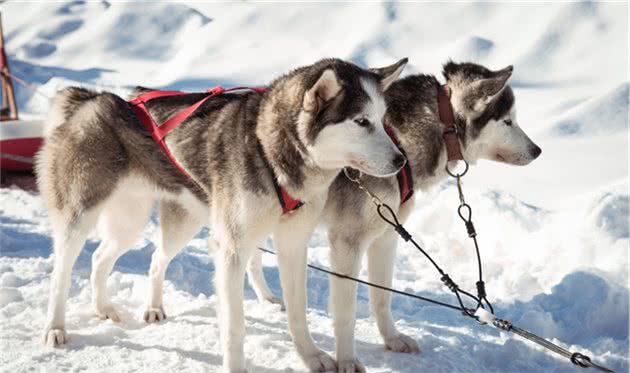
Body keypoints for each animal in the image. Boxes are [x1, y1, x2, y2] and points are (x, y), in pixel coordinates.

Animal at [35, 56, 410, 370]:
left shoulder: (292, 243)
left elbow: (298, 311)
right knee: (62, 272)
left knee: (118, 258)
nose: (401, 160)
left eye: (383, 120)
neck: (269, 149)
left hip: (141, 222)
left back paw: (119, 308)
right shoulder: (232, 249)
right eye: (361, 121)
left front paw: (311, 357)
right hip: (80, 216)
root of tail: (90, 98)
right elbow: (235, 325)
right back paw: (55, 327)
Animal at [320, 61, 544, 370]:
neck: (399, 141)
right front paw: (347, 360)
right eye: (508, 121)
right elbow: (346, 312)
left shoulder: (386, 236)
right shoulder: (347, 242)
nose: (537, 150)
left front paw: (392, 339)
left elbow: (382, 295)